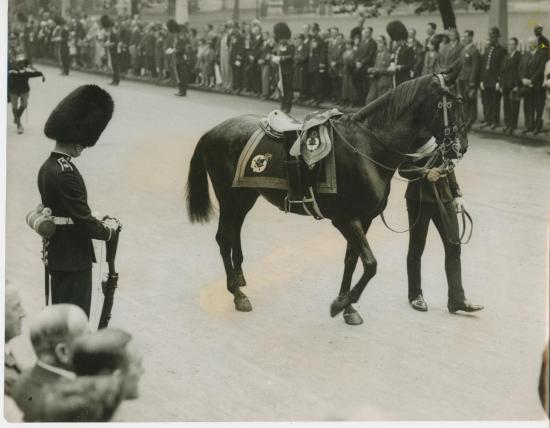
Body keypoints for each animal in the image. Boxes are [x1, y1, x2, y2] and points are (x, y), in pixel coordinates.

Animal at [187, 72, 470, 324]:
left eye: (461, 102)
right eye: (452, 103)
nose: (461, 147)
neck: (367, 147)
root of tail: (212, 131)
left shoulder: (363, 219)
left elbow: (352, 260)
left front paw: (347, 306)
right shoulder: (345, 219)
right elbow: (370, 263)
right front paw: (341, 304)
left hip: (245, 197)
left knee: (234, 233)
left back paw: (238, 279)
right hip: (229, 197)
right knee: (223, 237)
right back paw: (238, 294)